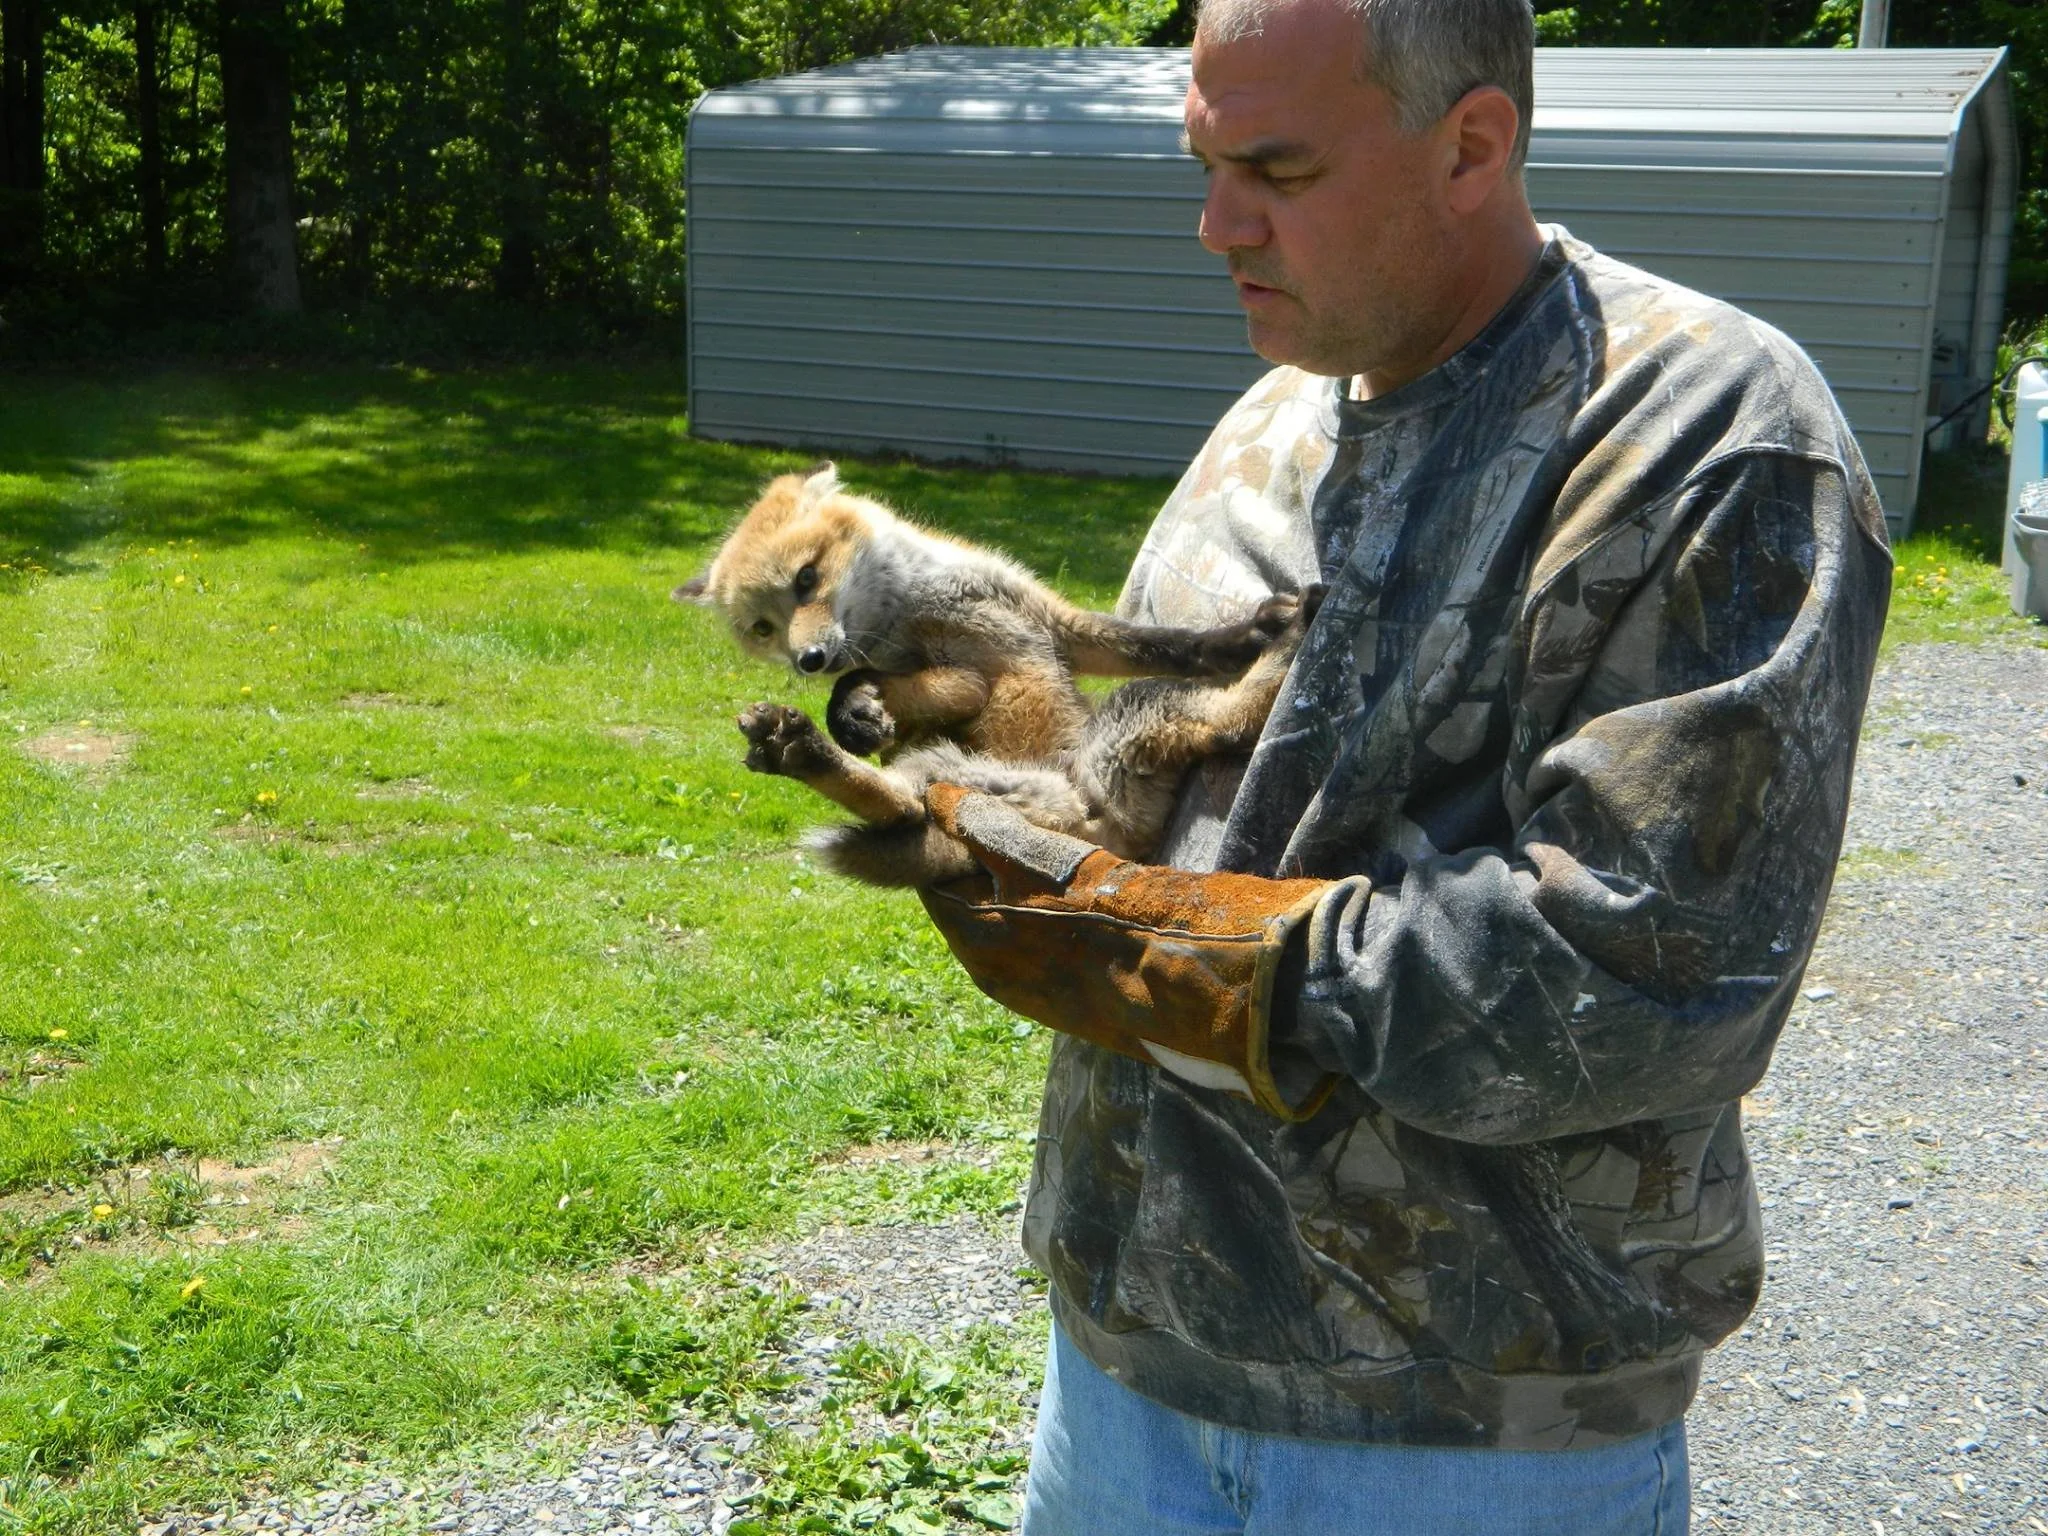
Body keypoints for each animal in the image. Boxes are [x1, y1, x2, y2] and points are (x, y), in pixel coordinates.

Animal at [678, 464, 1318, 886]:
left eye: (806, 578)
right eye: (763, 628)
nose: (808, 659)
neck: (916, 603)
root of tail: (1093, 836)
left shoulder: (1053, 625)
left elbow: (1167, 644)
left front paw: (1249, 632)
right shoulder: (932, 669)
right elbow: (889, 686)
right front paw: (854, 714)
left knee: (902, 809)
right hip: (1099, 729)